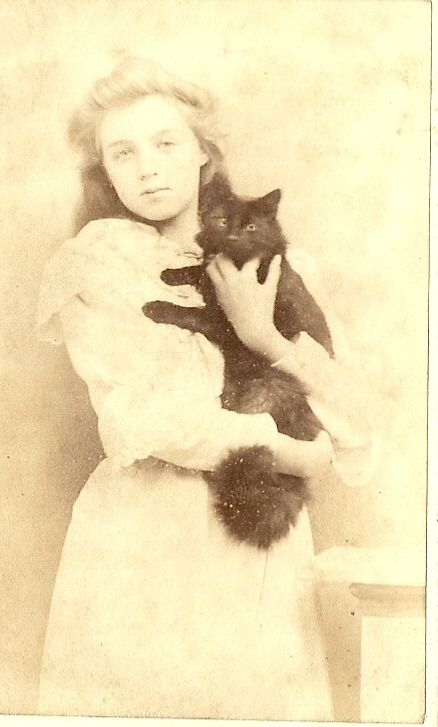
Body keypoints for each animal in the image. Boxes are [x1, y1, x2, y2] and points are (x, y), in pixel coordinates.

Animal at [142, 175, 334, 552]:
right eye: (221, 221)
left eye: (250, 226)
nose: (232, 236)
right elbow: (199, 268)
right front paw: (172, 273)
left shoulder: (225, 323)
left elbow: (189, 313)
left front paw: (156, 307)